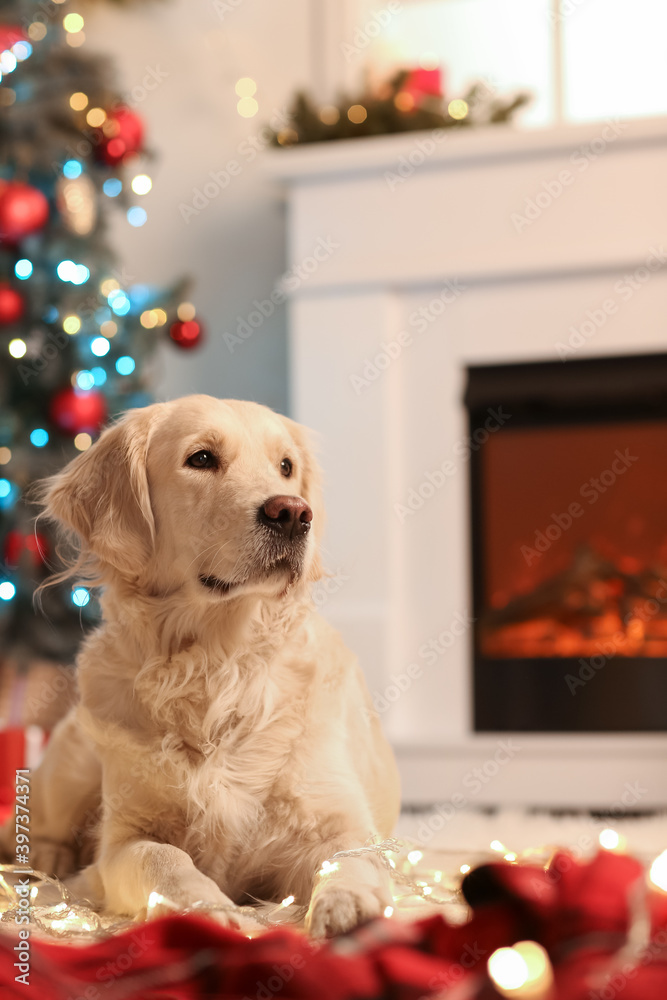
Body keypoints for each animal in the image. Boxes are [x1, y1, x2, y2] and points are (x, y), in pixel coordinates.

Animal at [0, 398, 402, 936]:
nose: (293, 513)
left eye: (286, 466)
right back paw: (45, 858)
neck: (218, 664)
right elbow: (163, 857)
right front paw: (207, 908)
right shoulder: (124, 839)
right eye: (202, 459)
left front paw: (350, 906)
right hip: (71, 764)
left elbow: (349, 858)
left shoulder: (338, 819)